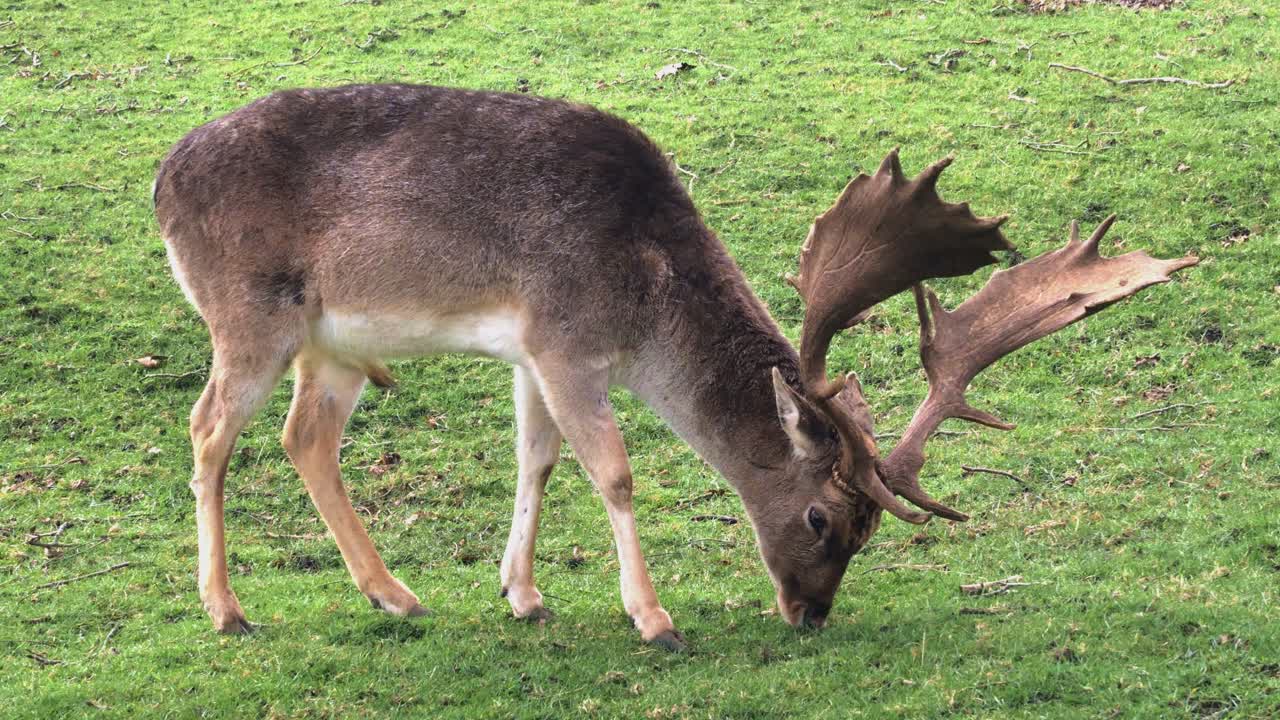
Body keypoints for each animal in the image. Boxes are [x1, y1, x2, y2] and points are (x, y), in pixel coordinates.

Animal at [154, 84, 1197, 651]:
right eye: (823, 518)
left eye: (868, 534)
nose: (811, 614)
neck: (643, 293)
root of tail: (161, 184)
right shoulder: (567, 341)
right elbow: (614, 473)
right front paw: (652, 619)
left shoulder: (531, 351)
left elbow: (536, 461)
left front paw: (522, 595)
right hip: (250, 314)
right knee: (207, 430)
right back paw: (227, 611)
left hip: (331, 344)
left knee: (304, 438)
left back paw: (395, 593)